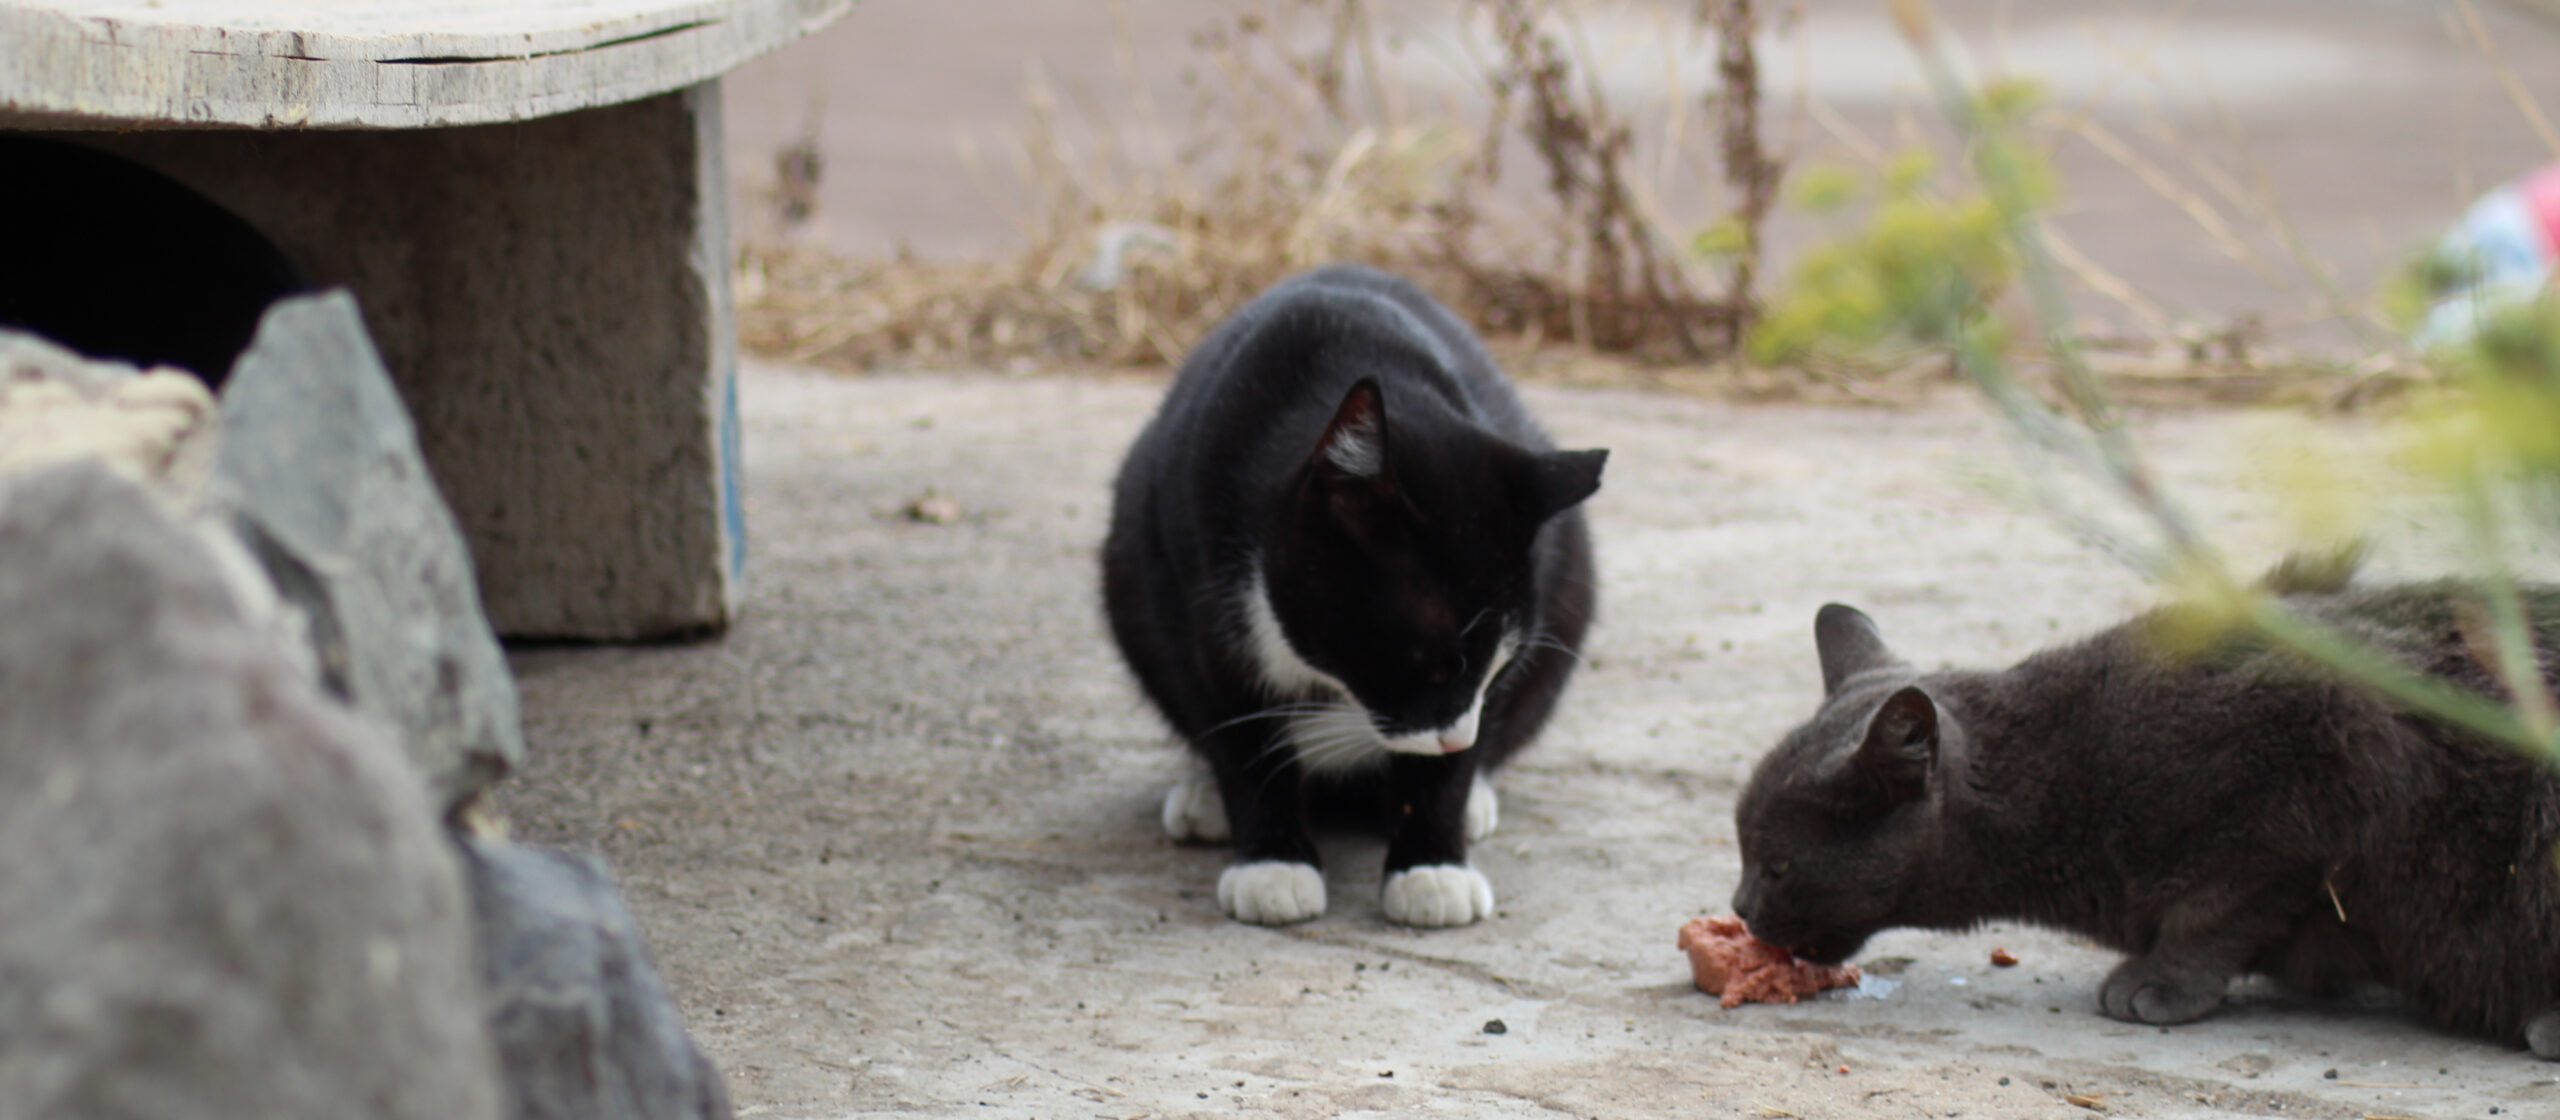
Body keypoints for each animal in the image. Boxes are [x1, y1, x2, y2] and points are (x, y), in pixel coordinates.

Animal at [1095, 264, 1597, 925]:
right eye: (1431, 661)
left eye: (1499, 666)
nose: (1456, 736)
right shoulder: (1194, 607)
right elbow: (1240, 735)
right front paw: (1273, 863)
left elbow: (1446, 772)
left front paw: (1433, 865)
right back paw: (1207, 797)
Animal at [1730, 560, 2560, 1058]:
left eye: (1777, 864)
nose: (1737, 907)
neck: (2064, 777)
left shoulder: (2329, 753)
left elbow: (2220, 909)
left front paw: (2160, 981)